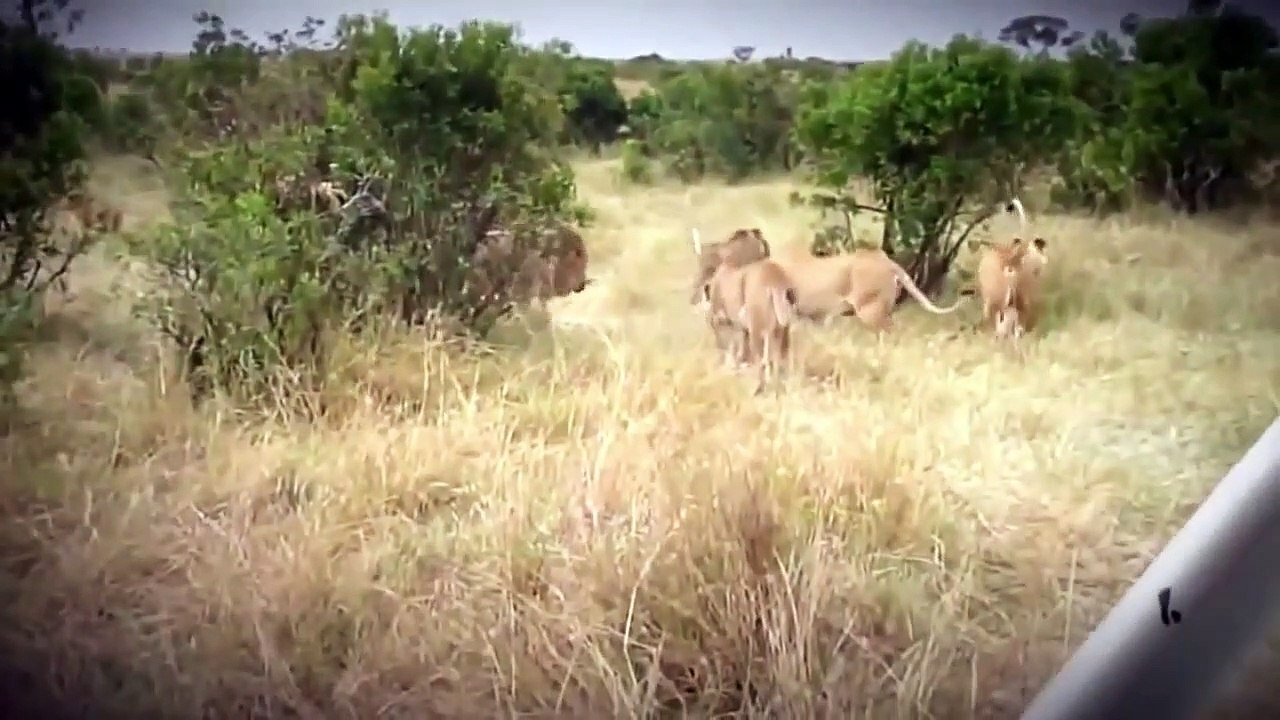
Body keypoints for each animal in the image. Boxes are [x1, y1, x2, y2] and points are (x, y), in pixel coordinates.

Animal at [697, 257, 798, 394]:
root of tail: (775, 277)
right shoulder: (741, 328)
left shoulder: (724, 324)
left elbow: (728, 348)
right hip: (779, 330)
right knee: (776, 358)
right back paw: (776, 386)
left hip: (757, 331)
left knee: (761, 361)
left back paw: (758, 388)